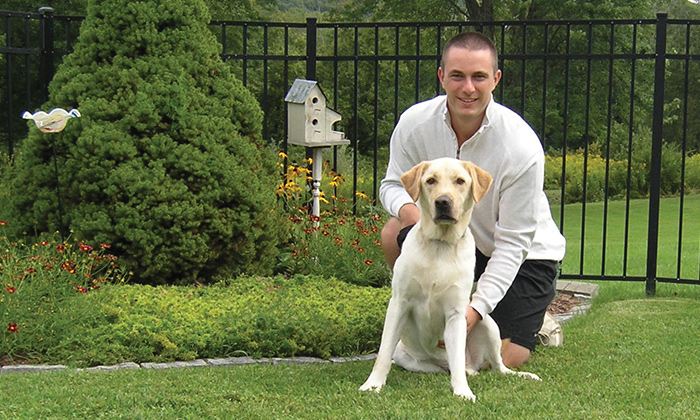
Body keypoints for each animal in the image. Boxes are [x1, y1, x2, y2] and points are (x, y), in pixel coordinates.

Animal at [360, 158, 540, 400]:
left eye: (460, 181)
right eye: (430, 180)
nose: (443, 202)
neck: (440, 245)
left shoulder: (456, 313)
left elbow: (456, 359)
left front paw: (463, 392)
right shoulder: (399, 303)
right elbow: (383, 353)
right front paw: (373, 384)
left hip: (488, 323)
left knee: (496, 365)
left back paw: (517, 375)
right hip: (408, 356)